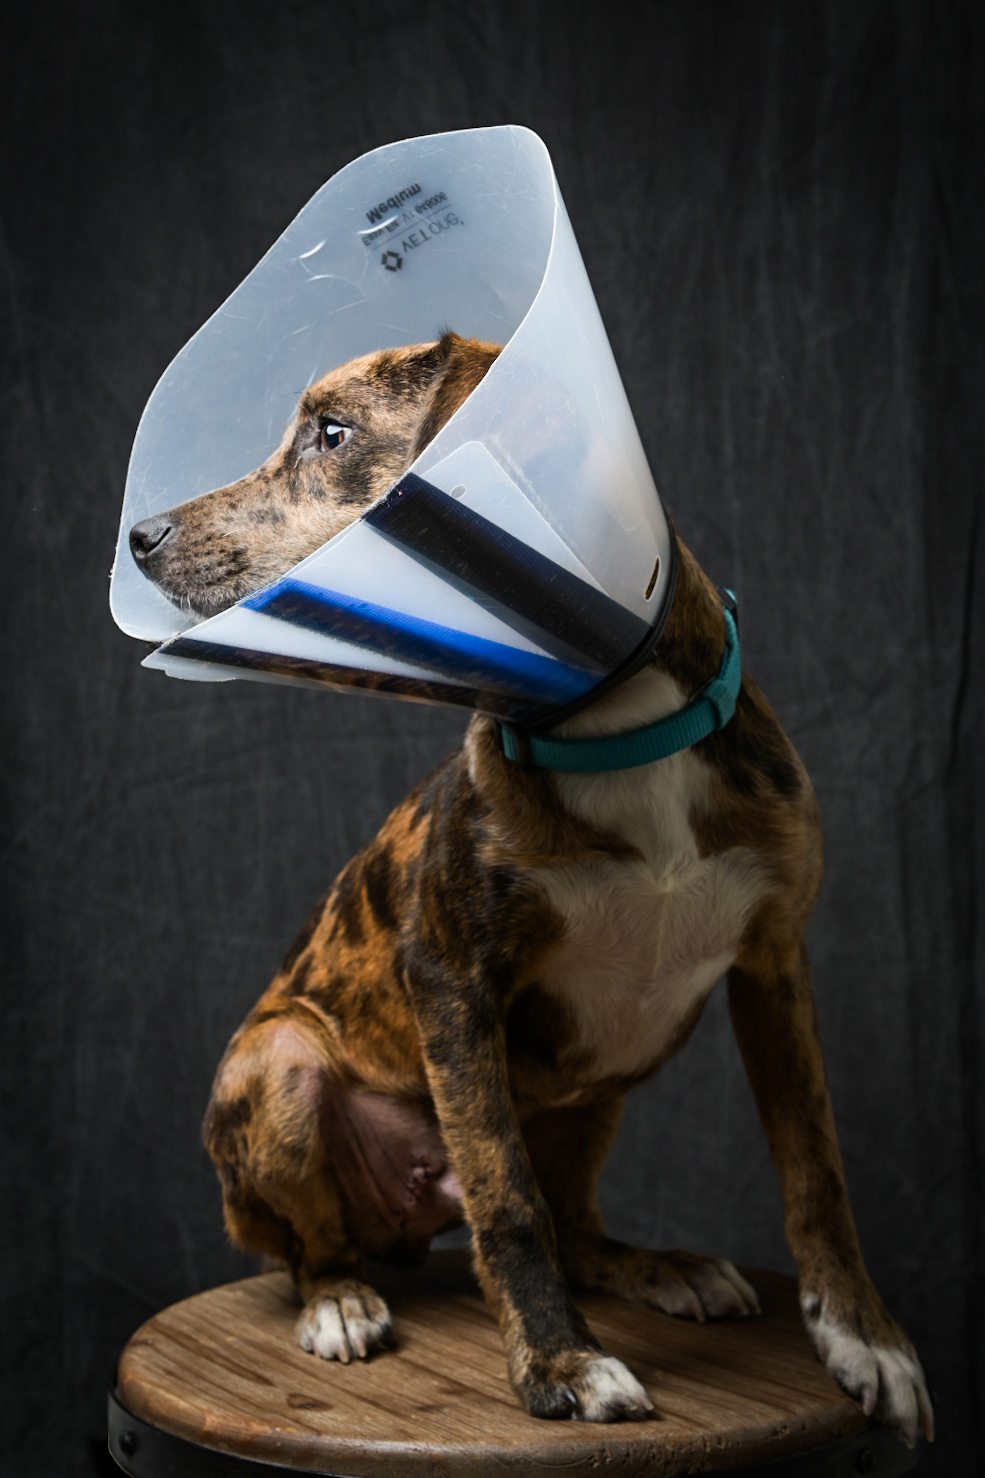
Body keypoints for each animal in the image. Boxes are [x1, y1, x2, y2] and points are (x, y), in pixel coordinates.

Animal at [130, 329, 928, 1436]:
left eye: (331, 434)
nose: (140, 534)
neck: (610, 734)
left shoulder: (774, 962)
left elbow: (815, 1166)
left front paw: (863, 1337)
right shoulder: (453, 980)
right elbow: (504, 1202)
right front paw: (560, 1363)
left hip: (599, 1090)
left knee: (575, 1222)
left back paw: (659, 1266)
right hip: (281, 1066)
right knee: (316, 1248)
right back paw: (340, 1300)